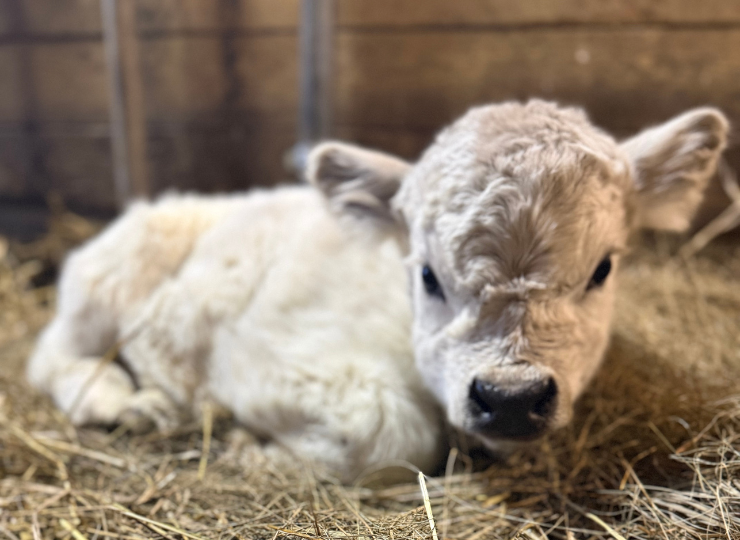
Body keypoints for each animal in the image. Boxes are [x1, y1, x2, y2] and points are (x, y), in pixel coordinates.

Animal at [27, 100, 728, 480]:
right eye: (427, 275)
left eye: (602, 270)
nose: (511, 398)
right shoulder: (267, 360)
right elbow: (393, 433)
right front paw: (256, 449)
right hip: (114, 273)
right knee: (52, 355)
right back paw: (122, 399)